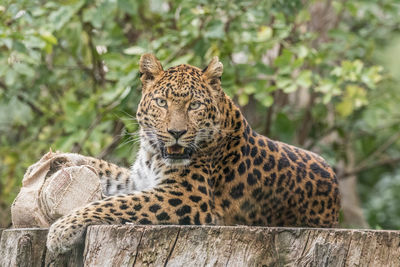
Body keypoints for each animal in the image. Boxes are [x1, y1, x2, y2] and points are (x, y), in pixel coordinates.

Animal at [47, 53, 340, 254]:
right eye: (162, 102)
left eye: (195, 105)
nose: (176, 132)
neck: (154, 154)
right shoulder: (140, 179)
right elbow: (111, 174)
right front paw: (62, 159)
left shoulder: (186, 195)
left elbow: (115, 203)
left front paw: (60, 230)